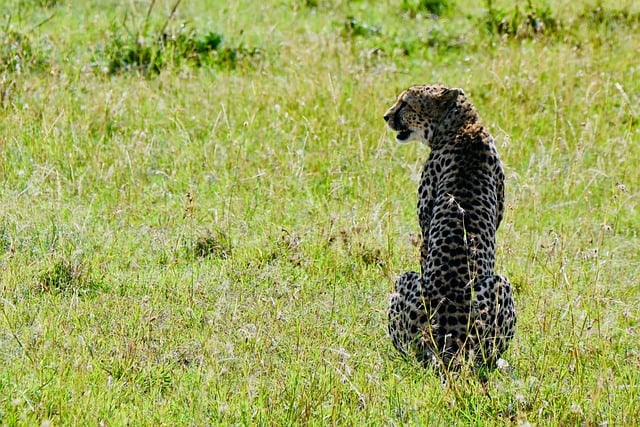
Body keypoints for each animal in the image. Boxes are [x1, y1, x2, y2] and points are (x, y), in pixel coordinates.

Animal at [382, 83, 516, 372]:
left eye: (406, 103)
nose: (386, 116)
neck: (464, 124)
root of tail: (451, 342)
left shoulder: (425, 227)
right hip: (500, 284)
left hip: (407, 280)